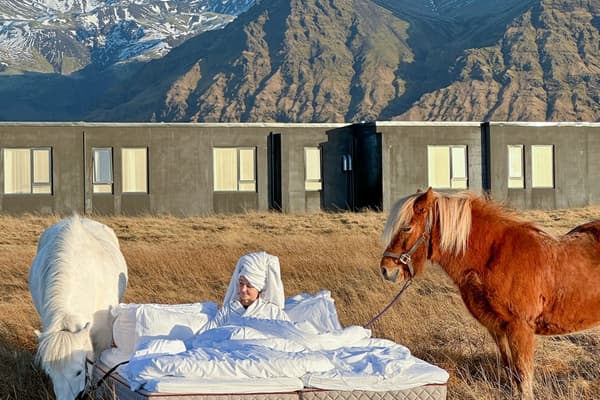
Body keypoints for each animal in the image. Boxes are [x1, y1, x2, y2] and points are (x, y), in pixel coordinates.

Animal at [380, 188, 600, 400]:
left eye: (406, 228)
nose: (386, 269)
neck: (495, 258)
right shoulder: (497, 328)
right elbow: (511, 370)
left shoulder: (521, 328)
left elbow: (524, 374)